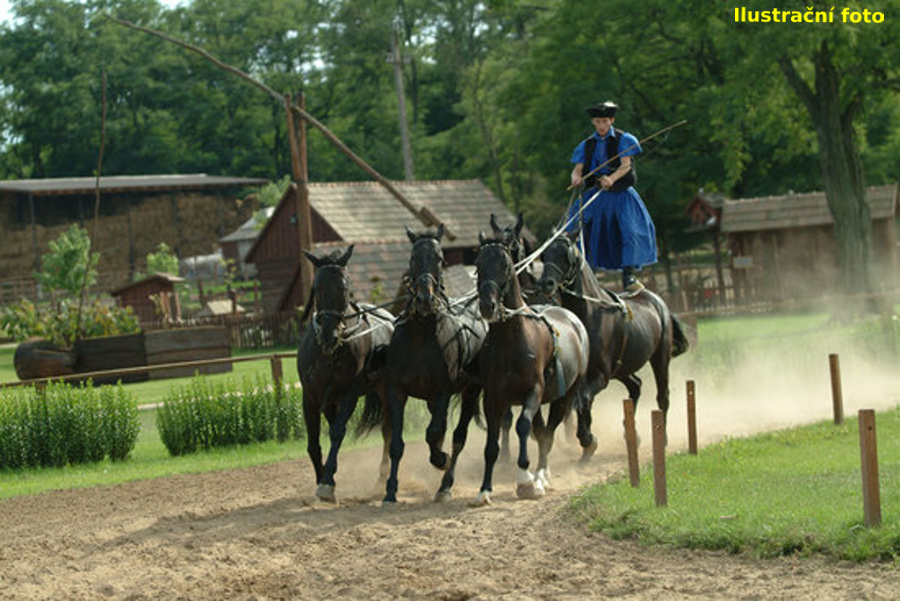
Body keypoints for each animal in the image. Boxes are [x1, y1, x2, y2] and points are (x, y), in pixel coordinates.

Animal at [298, 244, 396, 502]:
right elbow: (313, 442)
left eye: (344, 287)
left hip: (387, 391)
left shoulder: (349, 393)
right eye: (317, 287)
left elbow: (337, 433)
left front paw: (327, 482)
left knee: (388, 430)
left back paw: (382, 478)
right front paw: (322, 477)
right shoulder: (311, 397)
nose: (329, 334)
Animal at [384, 223, 488, 504]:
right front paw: (390, 490)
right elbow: (397, 443)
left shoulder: (443, 391)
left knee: (458, 437)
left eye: (440, 258)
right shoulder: (397, 392)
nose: (424, 300)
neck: (421, 335)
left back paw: (445, 483)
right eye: (412, 258)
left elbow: (432, 434)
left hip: (470, 392)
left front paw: (442, 460)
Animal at [472, 226, 592, 506]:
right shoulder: (492, 399)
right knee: (541, 431)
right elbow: (492, 445)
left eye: (504, 264)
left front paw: (526, 480)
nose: (487, 306)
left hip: (563, 396)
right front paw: (485, 489)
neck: (511, 340)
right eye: (478, 264)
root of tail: (573, 320)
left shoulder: (532, 392)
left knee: (547, 432)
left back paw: (539, 476)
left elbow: (523, 427)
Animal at [536, 230, 692, 440]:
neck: (589, 315)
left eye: (565, 254)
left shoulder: (601, 375)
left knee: (663, 395)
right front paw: (585, 433)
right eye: (544, 255)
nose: (546, 283)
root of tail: (657, 301)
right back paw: (631, 432)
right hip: (621, 369)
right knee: (635, 386)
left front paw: (586, 436)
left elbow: (582, 399)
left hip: (660, 358)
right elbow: (578, 401)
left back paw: (662, 435)